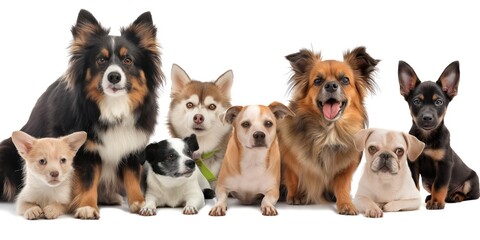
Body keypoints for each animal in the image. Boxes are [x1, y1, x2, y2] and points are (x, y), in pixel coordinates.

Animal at [278, 46, 378, 214]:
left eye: (345, 80)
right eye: (317, 81)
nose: (331, 85)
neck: (328, 132)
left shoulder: (346, 168)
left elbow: (342, 184)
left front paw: (345, 203)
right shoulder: (288, 159)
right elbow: (293, 175)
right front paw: (296, 195)